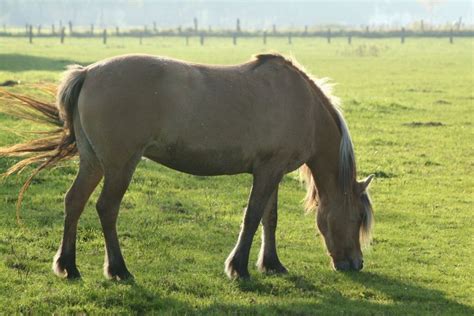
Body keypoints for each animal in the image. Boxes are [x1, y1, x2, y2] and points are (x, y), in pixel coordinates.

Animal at [0, 53, 374, 280]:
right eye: (358, 217)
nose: (355, 263)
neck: (302, 105)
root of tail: (88, 73)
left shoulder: (273, 171)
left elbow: (270, 218)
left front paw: (271, 264)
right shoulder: (268, 172)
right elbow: (252, 217)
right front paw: (238, 268)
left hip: (93, 162)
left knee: (74, 202)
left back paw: (68, 266)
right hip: (120, 164)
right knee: (106, 208)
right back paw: (118, 269)